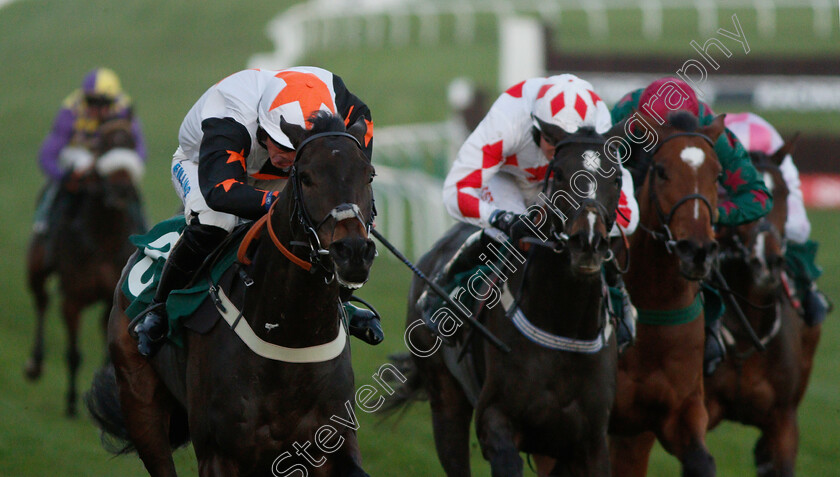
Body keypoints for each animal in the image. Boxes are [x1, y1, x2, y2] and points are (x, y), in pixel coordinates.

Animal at [24, 117, 146, 414]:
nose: (121, 189)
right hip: (36, 267)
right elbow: (73, 353)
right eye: (102, 145)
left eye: (132, 143)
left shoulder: (111, 300)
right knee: (41, 300)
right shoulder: (73, 298)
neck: (104, 239)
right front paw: (70, 403)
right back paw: (35, 364)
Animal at [87, 112, 376, 476]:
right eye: (306, 176)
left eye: (369, 174)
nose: (353, 252)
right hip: (140, 405)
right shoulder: (219, 455)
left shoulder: (331, 443)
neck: (290, 337)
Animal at [388, 123, 624, 476]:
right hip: (445, 403)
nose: (589, 241)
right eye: (559, 174)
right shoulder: (494, 420)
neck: (564, 325)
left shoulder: (590, 443)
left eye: (618, 178)